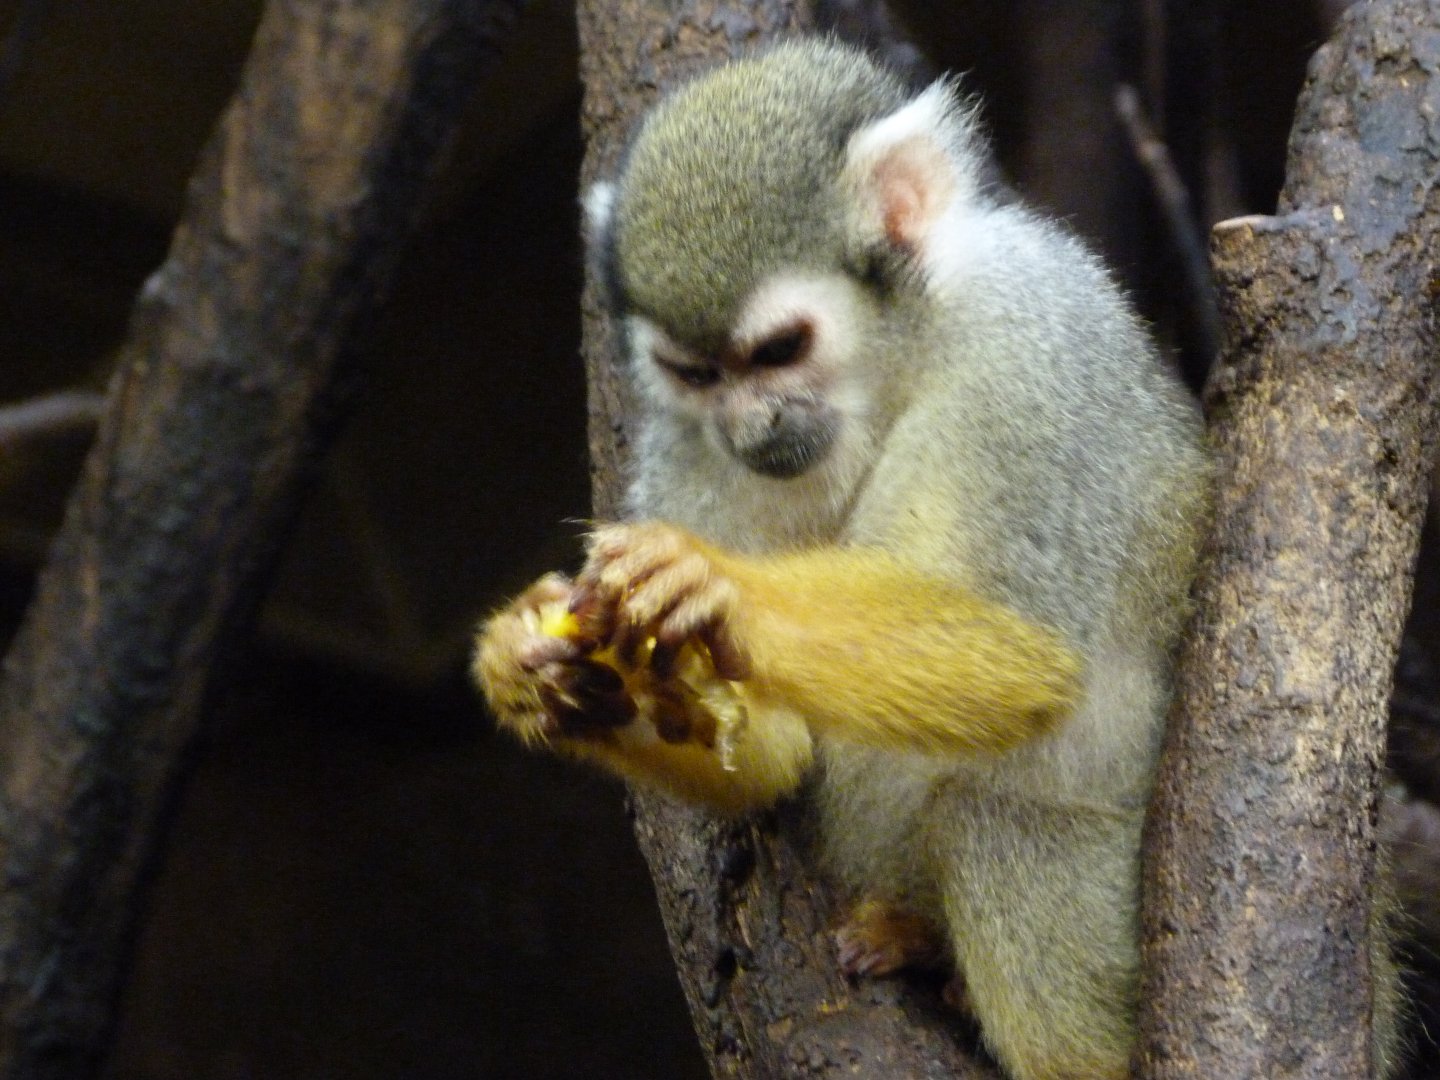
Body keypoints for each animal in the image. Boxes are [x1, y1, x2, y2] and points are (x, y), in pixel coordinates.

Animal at [474, 39, 1399, 1079]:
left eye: (780, 349)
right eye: (697, 373)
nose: (753, 431)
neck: (892, 362)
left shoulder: (1027, 339)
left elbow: (1024, 652)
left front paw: (721, 590)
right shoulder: (684, 440)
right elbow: (773, 751)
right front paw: (555, 679)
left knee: (996, 827)